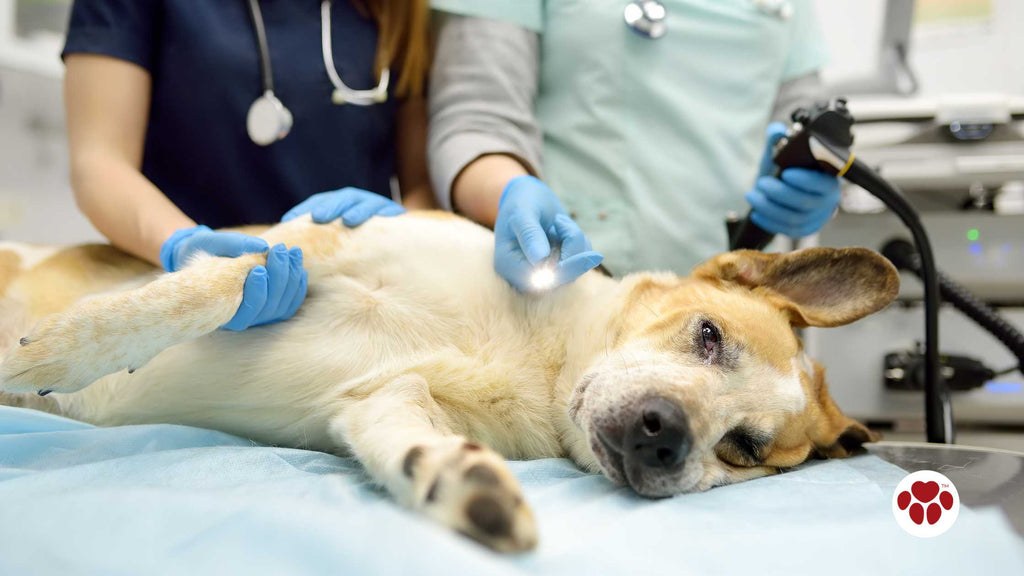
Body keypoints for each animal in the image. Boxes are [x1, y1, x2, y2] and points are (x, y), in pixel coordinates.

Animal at [0, 212, 897, 553]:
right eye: (708, 337)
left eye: (742, 450)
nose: (663, 433)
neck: (539, 359)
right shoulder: (309, 247)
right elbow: (185, 298)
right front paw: (47, 355)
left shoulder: (378, 399)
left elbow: (410, 436)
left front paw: (465, 485)